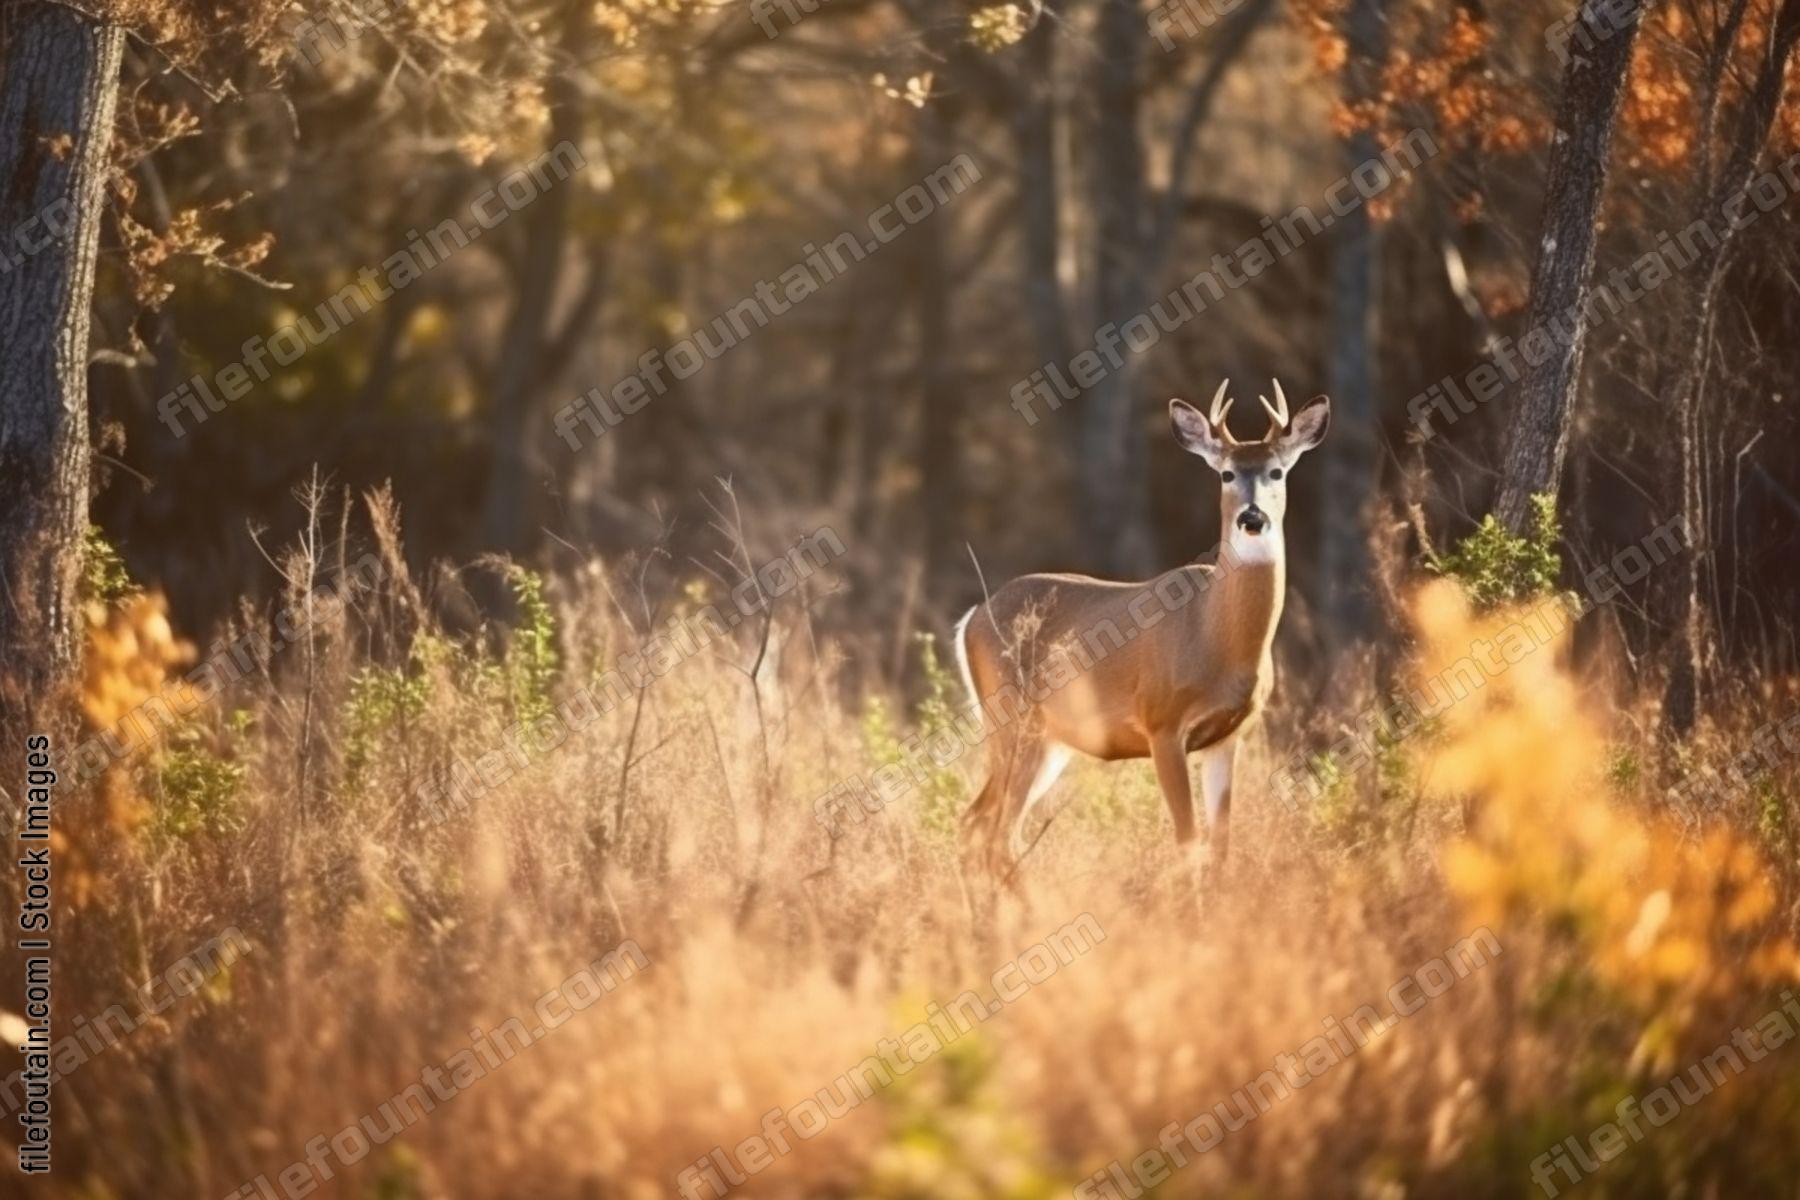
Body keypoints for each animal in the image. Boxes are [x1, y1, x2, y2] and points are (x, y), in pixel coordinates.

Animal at [952, 380, 1330, 879]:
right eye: (1226, 474)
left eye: (1277, 472)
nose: (1252, 518)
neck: (1217, 637)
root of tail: (972, 618)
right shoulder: (1162, 724)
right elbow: (1188, 842)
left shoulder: (1228, 738)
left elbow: (1221, 848)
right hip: (1015, 721)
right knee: (999, 834)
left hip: (1051, 740)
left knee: (974, 823)